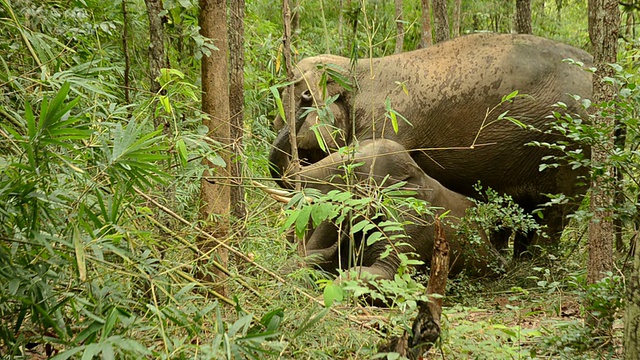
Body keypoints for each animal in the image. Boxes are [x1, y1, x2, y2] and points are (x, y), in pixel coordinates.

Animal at [268, 31, 592, 256]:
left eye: (302, 100)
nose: (305, 98)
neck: (353, 69)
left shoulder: (388, 123)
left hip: (571, 151)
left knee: (556, 212)